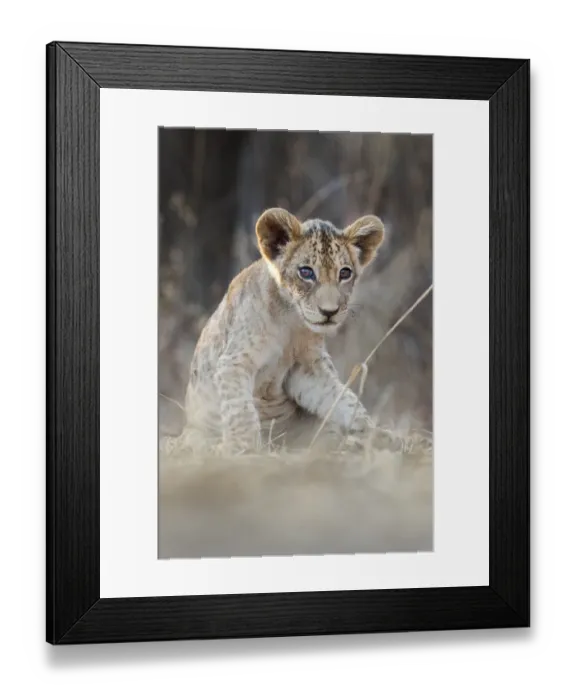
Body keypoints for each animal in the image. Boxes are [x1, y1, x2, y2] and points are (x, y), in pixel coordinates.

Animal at [181, 207, 385, 455]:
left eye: (344, 273)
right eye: (306, 272)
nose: (330, 312)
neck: (290, 321)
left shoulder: (307, 368)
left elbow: (341, 398)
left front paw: (370, 431)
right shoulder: (234, 361)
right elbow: (240, 410)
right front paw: (242, 448)